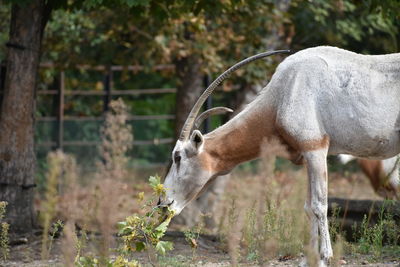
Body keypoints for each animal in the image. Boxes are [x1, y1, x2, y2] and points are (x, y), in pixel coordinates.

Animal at [160, 46, 400, 266]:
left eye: (178, 157)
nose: (162, 203)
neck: (285, 91)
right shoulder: (307, 155)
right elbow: (308, 207)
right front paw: (309, 260)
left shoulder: (316, 150)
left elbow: (319, 205)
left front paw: (325, 257)